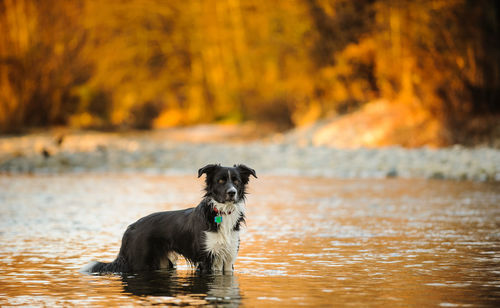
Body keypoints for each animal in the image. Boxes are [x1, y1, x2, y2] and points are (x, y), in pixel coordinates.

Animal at [81, 164, 258, 274]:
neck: (222, 212)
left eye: (236, 181)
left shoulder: (229, 258)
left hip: (164, 262)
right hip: (139, 262)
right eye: (220, 181)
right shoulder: (206, 258)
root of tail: (130, 228)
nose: (232, 192)